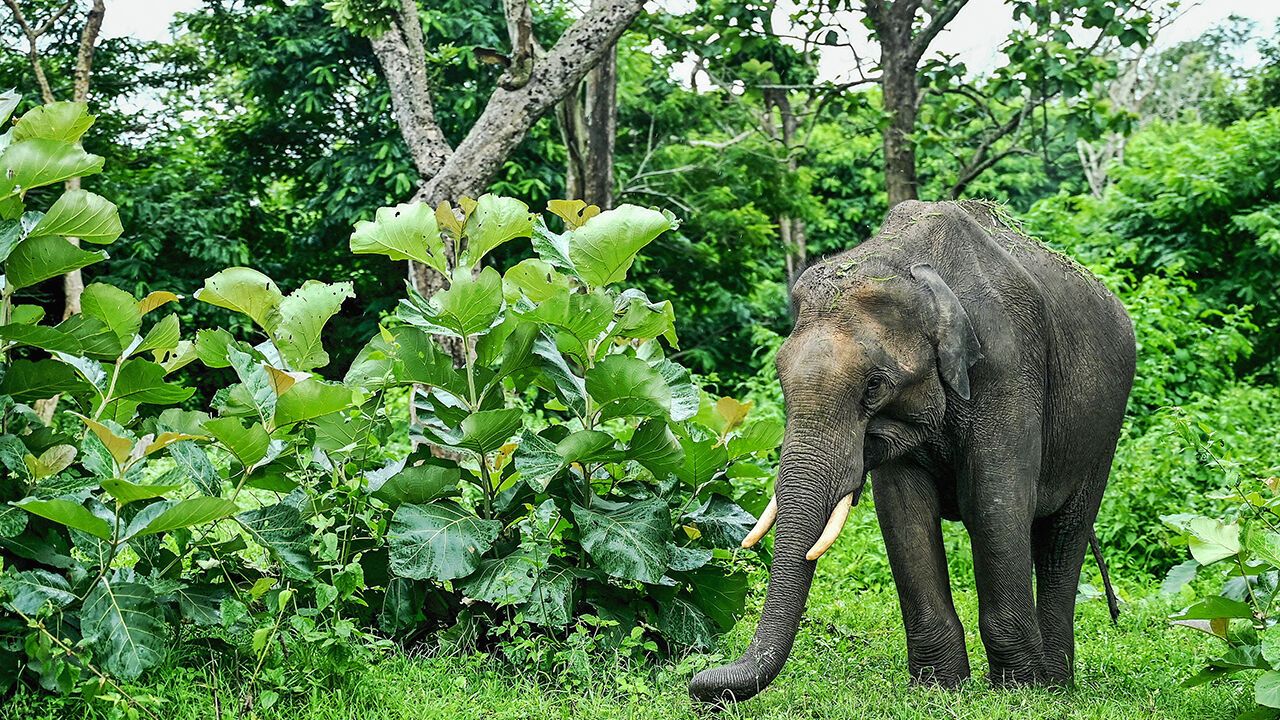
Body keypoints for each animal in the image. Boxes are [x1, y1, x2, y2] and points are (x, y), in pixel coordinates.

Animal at [689, 200, 1136, 705]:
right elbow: (903, 511)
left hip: (1103, 429)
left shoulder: (1009, 364)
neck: (910, 265)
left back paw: (1055, 686)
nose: (701, 683)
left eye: (873, 387)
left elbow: (994, 503)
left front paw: (1019, 692)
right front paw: (939, 688)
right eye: (780, 377)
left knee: (1064, 536)